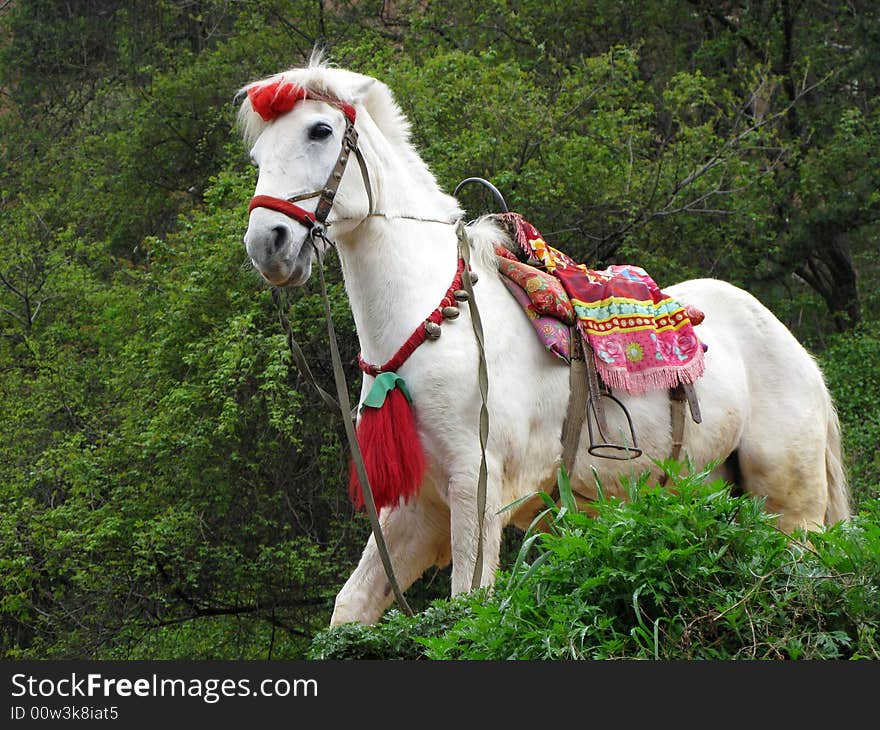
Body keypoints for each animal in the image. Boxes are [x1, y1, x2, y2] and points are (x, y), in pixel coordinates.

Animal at [237, 59, 848, 624]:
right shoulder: (420, 510)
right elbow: (351, 609)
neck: (436, 323)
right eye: (259, 154)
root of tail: (800, 356)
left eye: (320, 130)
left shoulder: (477, 491)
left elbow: (469, 608)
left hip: (791, 510)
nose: (269, 245)